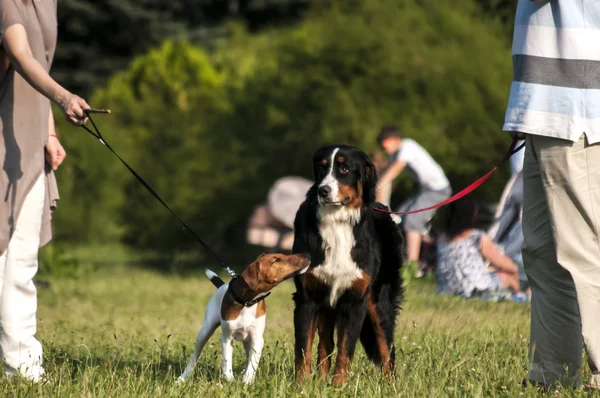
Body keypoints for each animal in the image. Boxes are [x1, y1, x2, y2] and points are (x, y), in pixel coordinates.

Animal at [177, 253, 310, 384]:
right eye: (276, 260)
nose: (307, 255)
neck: (247, 303)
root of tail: (222, 286)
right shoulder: (226, 337)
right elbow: (227, 362)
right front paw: (230, 380)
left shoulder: (257, 339)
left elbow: (252, 363)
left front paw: (247, 381)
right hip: (206, 330)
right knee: (195, 354)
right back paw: (183, 378)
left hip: (248, 341)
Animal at [290, 145, 404, 384]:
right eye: (321, 168)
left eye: (343, 169)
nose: (322, 191)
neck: (338, 222)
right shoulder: (307, 297)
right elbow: (303, 349)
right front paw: (301, 385)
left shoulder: (355, 300)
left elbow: (346, 349)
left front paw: (339, 385)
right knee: (325, 344)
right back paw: (320, 381)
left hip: (379, 302)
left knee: (386, 347)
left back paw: (390, 385)